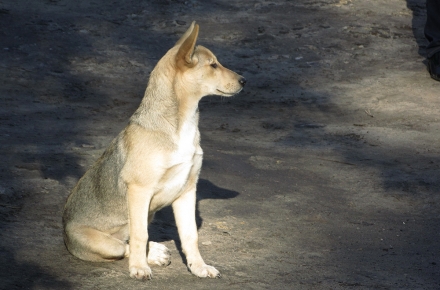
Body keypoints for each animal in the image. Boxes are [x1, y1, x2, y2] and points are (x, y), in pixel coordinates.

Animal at [62, 21, 248, 280]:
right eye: (213, 65)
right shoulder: (139, 191)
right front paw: (140, 268)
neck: (179, 125)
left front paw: (199, 267)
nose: (244, 81)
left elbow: (190, 236)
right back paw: (152, 256)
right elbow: (140, 236)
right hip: (104, 241)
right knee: (124, 245)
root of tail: (63, 230)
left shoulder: (187, 191)